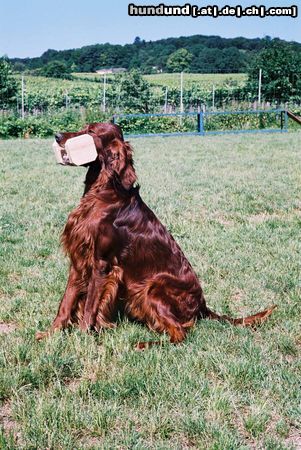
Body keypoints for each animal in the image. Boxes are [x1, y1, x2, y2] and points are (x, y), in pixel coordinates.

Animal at [35, 121, 274, 346]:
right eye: (84, 127)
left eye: (91, 132)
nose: (57, 136)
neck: (102, 192)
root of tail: (202, 306)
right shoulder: (79, 259)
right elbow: (66, 302)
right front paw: (50, 334)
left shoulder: (101, 264)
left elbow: (89, 308)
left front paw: (83, 339)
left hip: (152, 287)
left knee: (179, 334)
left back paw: (141, 344)